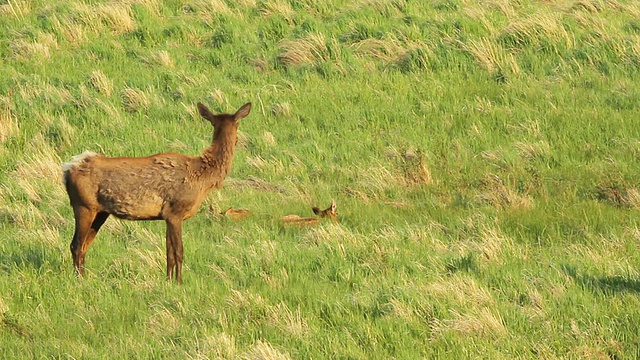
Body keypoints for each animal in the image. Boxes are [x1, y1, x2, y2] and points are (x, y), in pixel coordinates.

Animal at [60, 100, 250, 282]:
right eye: (238, 124)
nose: (237, 141)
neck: (202, 178)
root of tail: (67, 169)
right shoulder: (175, 211)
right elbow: (179, 252)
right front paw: (179, 282)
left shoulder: (166, 215)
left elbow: (169, 253)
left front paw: (168, 280)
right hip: (83, 205)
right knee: (76, 245)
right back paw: (80, 279)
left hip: (100, 212)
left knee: (85, 245)